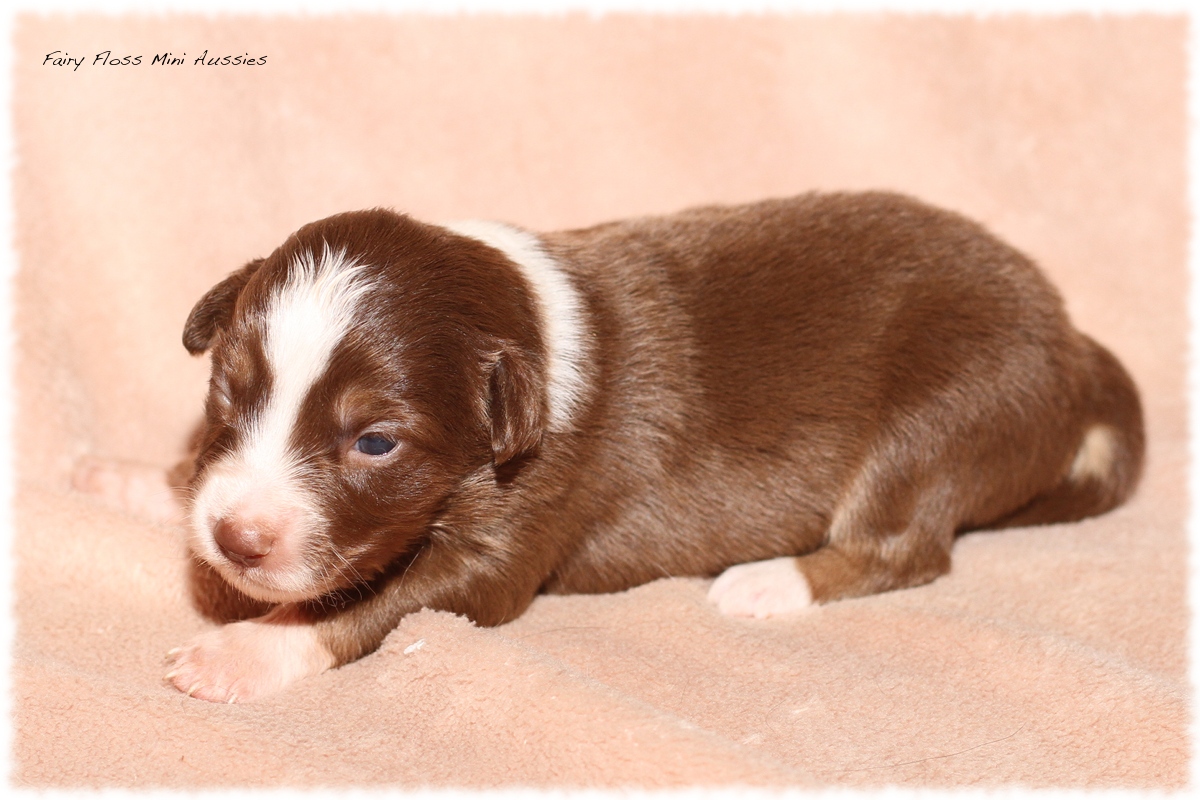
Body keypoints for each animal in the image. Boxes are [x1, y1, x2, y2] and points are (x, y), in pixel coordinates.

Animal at [162, 191, 1142, 700]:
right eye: (228, 391)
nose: (235, 540)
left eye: (375, 442)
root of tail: (1073, 346)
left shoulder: (506, 544)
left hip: (943, 420)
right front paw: (148, 481)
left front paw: (240, 650)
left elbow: (372, 602)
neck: (526, 326)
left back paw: (765, 583)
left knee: (905, 549)